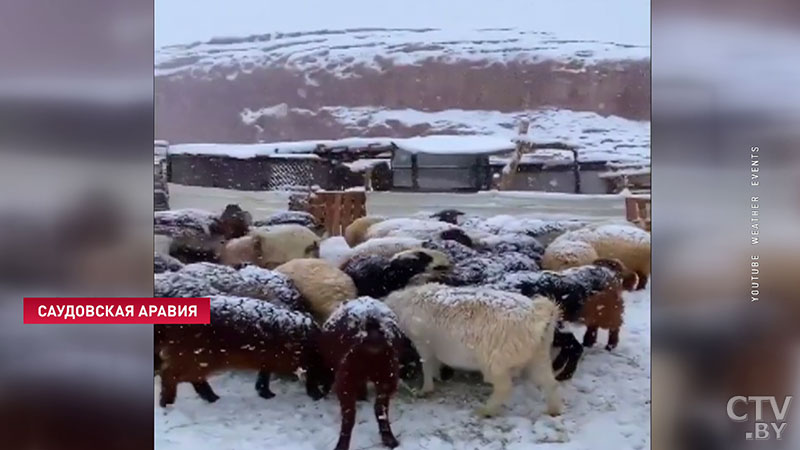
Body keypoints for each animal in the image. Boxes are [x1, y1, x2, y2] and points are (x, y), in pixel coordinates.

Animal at [156, 296, 332, 408]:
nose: (327, 392)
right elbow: (311, 379)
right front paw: (316, 395)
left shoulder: (268, 359)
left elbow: (264, 376)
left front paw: (266, 394)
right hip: (197, 356)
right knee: (170, 375)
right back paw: (167, 403)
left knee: (192, 379)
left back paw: (213, 398)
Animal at [382, 284, 564, 418]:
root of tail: (538, 315)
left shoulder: (423, 343)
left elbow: (427, 365)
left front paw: (425, 389)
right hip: (539, 355)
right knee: (550, 382)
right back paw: (553, 410)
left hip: (495, 362)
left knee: (504, 387)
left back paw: (485, 411)